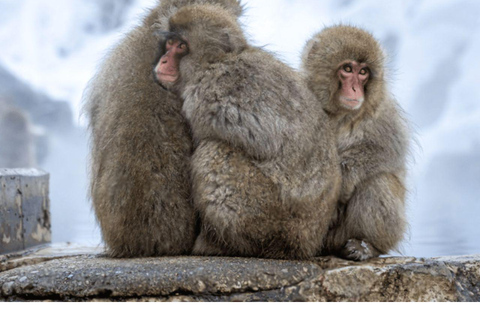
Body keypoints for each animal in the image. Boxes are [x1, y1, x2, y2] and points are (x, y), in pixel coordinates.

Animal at [155, 3, 342, 260]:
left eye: (181, 46)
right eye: (170, 43)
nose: (163, 61)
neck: (214, 62)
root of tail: (307, 243)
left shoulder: (206, 95)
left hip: (268, 216)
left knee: (213, 152)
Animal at [300, 24, 408, 260]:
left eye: (363, 72)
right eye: (348, 68)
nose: (355, 89)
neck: (338, 113)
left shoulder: (383, 111)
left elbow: (387, 151)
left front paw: (344, 181)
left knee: (377, 181)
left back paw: (366, 245)